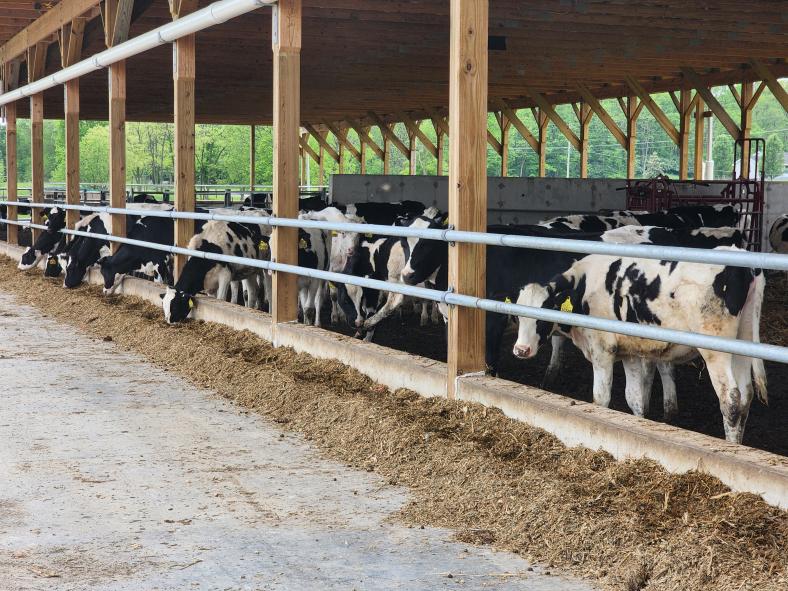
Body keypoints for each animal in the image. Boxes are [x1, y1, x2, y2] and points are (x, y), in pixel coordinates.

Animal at [516, 251, 768, 444]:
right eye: (518, 315)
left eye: (543, 314)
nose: (520, 350)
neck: (585, 285)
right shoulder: (629, 353)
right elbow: (635, 398)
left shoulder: (602, 350)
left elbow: (601, 398)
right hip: (742, 342)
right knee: (745, 395)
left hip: (716, 350)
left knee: (731, 398)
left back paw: (732, 445)